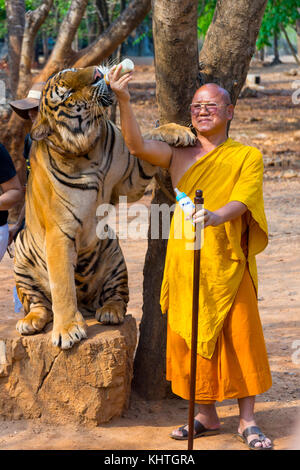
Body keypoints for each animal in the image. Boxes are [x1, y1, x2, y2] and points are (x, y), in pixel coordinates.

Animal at [14, 63, 196, 348]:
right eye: (67, 93)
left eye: (75, 69)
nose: (99, 74)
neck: (88, 150)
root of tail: (87, 307)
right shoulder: (59, 233)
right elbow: (62, 285)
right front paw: (67, 330)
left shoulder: (132, 177)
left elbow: (146, 140)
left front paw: (178, 131)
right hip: (22, 254)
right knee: (40, 304)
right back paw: (31, 322)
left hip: (114, 252)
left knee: (118, 294)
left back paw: (110, 311)